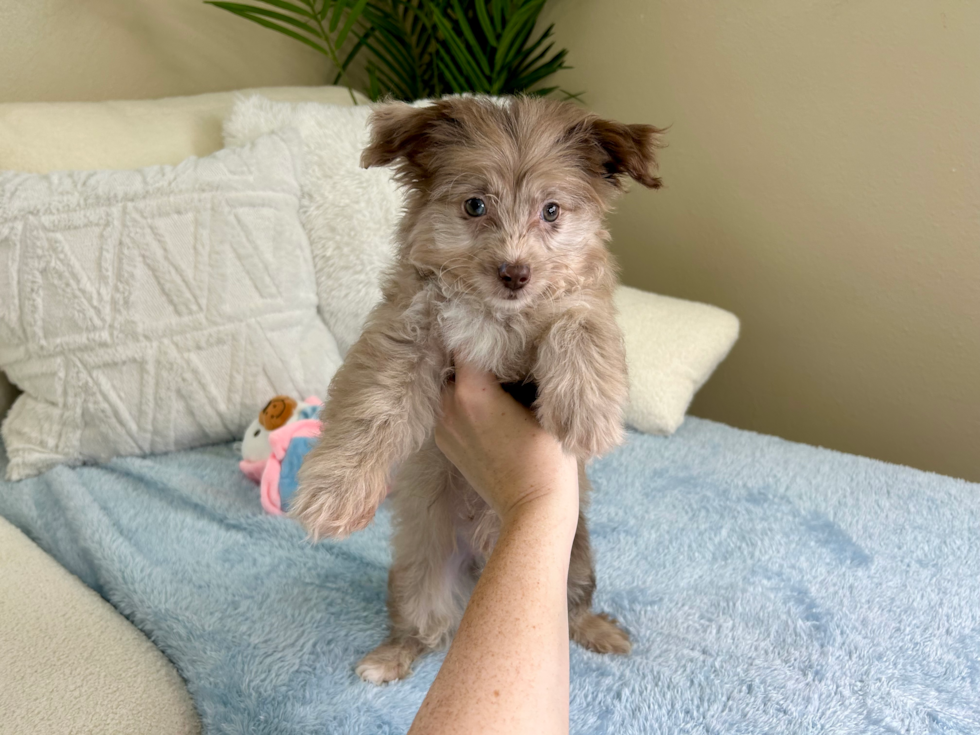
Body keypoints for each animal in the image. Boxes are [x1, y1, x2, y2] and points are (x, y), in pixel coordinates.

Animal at [290, 96, 668, 684]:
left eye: (551, 211)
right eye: (474, 205)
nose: (515, 273)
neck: (496, 315)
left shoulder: (580, 304)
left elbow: (578, 324)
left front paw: (587, 414)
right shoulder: (409, 332)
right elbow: (375, 406)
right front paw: (336, 494)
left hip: (573, 559)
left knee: (573, 609)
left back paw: (600, 632)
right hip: (419, 576)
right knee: (423, 626)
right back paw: (388, 658)